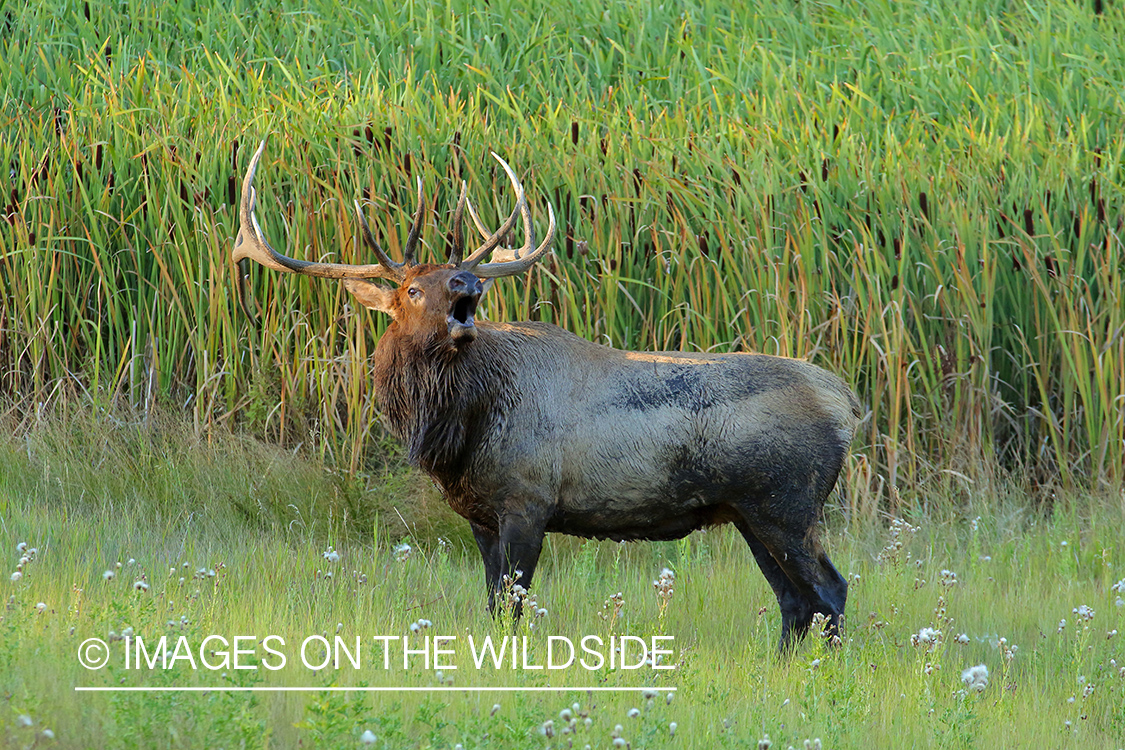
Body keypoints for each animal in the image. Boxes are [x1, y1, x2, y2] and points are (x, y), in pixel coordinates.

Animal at [233, 141, 862, 651]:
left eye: (450, 278)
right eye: (412, 287)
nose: (467, 281)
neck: (462, 431)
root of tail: (847, 405)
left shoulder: (527, 500)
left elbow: (513, 607)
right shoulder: (480, 515)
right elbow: (493, 604)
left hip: (787, 502)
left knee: (828, 592)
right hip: (750, 513)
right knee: (794, 603)